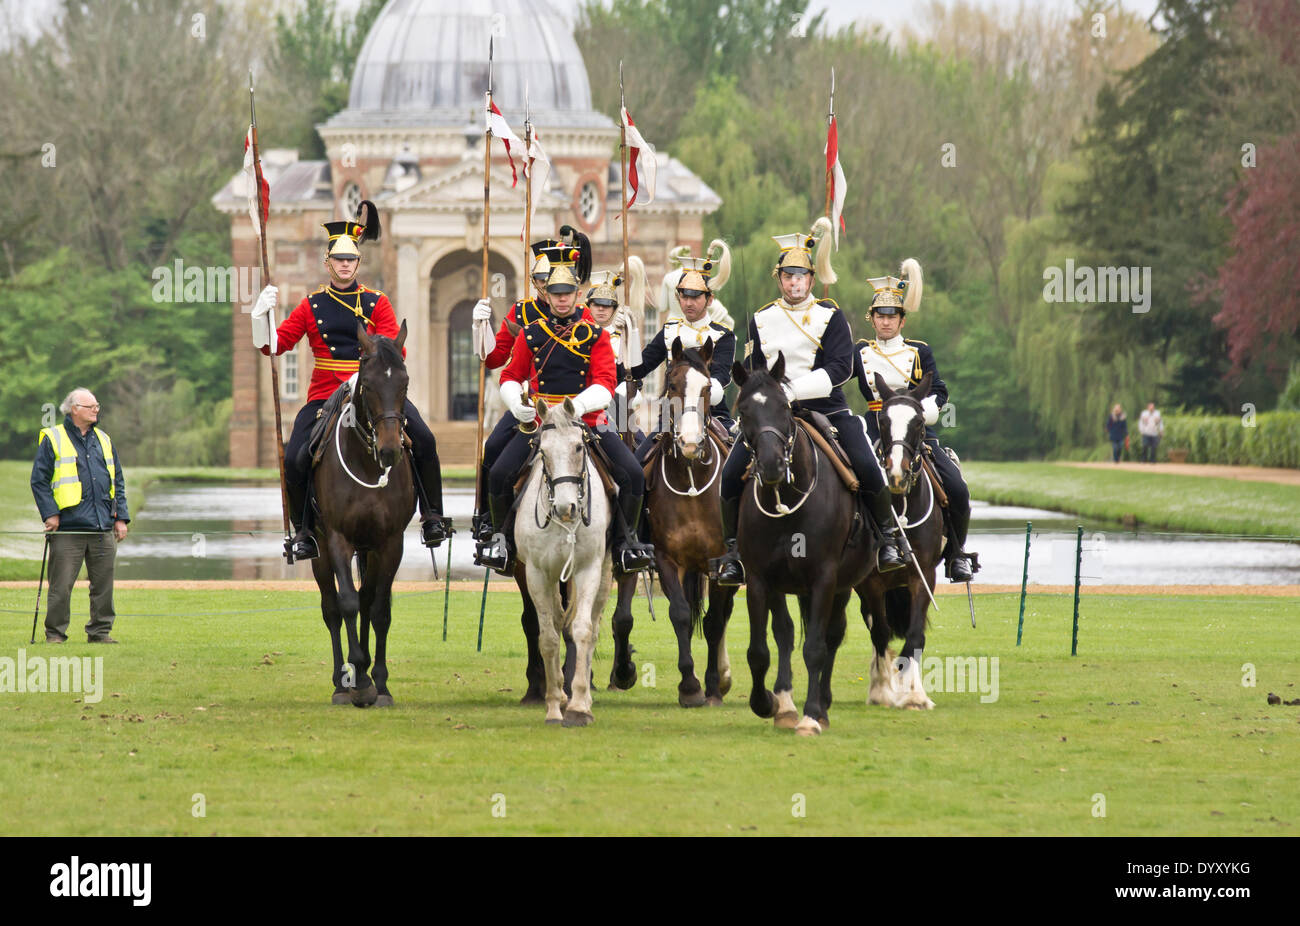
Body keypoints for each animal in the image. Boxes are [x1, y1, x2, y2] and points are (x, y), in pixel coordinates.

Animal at [308, 322, 413, 707]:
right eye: (367, 384)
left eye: (405, 382)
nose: (390, 450)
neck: (367, 464)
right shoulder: (338, 539)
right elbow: (348, 603)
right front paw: (358, 676)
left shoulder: (390, 543)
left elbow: (379, 608)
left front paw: (377, 682)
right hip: (319, 549)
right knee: (332, 608)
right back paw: (343, 682)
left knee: (368, 599)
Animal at [512, 395, 613, 723]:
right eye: (542, 451)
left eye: (579, 447)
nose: (565, 508)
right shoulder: (535, 572)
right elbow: (548, 636)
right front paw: (555, 704)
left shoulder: (589, 568)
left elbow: (581, 629)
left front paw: (579, 706)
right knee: (556, 622)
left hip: (605, 572)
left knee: (591, 627)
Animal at [605, 340, 738, 707]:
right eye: (673, 386)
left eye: (706, 388)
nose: (690, 443)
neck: (691, 478)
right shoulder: (666, 559)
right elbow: (679, 614)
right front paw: (690, 686)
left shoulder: (719, 561)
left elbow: (714, 621)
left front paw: (711, 686)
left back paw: (722, 678)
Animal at [733, 351, 883, 733]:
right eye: (744, 411)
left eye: (784, 408)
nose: (771, 465)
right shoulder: (760, 579)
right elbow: (761, 648)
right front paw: (768, 703)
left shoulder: (824, 578)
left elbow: (815, 647)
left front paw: (812, 714)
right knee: (787, 634)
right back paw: (785, 703)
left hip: (843, 585)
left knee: (830, 636)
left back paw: (823, 706)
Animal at [852, 371, 946, 712]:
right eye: (883, 421)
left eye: (918, 422)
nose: (895, 473)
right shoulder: (871, 583)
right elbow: (880, 632)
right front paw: (882, 690)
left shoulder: (924, 576)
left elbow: (915, 634)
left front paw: (915, 693)